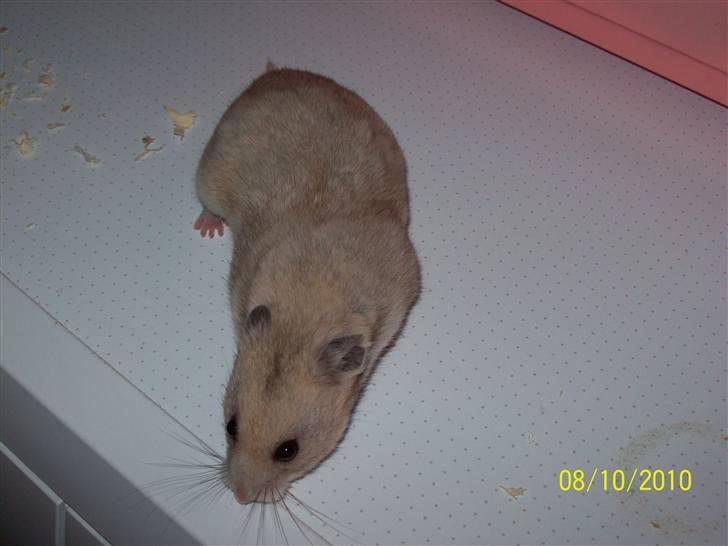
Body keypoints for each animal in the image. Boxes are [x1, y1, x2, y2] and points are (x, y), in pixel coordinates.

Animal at [194, 62, 420, 505]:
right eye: (231, 426)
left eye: (288, 451)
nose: (240, 497)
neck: (305, 315)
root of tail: (275, 73)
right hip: (208, 175)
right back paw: (206, 228)